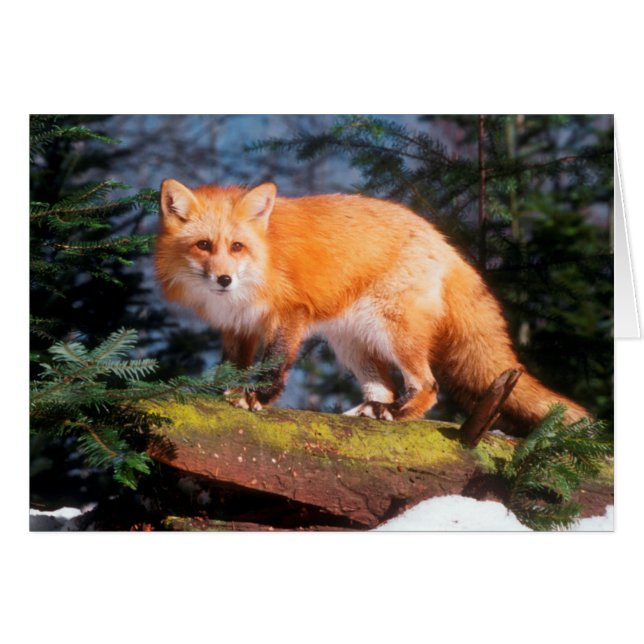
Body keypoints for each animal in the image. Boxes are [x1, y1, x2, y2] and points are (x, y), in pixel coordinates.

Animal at [155, 179, 589, 435]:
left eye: (237, 247)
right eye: (204, 245)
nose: (223, 280)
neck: (265, 257)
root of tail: (442, 240)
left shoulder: (289, 315)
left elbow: (274, 364)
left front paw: (256, 398)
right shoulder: (238, 326)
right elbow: (232, 366)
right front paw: (220, 394)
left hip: (393, 330)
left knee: (427, 386)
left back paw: (397, 413)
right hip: (352, 344)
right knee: (384, 387)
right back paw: (371, 411)